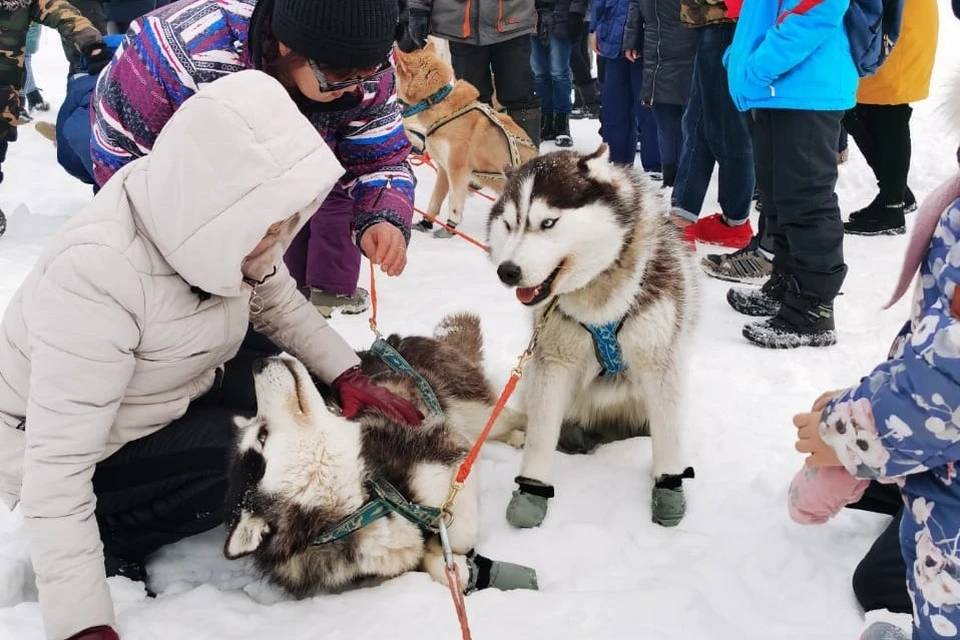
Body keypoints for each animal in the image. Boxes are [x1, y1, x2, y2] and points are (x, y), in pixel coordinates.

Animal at [227, 316, 540, 596]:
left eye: (261, 434)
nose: (258, 364)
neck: (368, 501)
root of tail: (388, 341)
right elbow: (425, 559)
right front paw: (447, 563)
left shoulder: (452, 452)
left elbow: (458, 532)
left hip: (473, 409)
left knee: (511, 416)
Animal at [392, 42, 540, 239]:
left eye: (395, 73)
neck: (438, 100)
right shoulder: (443, 169)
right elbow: (434, 201)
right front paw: (425, 223)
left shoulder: (457, 170)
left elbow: (454, 205)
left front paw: (449, 228)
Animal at [488, 146, 696, 528]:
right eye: (509, 225)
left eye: (548, 223)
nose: (507, 271)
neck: (600, 294)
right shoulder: (553, 359)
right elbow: (540, 435)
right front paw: (532, 489)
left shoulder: (657, 358)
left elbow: (667, 436)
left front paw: (669, 484)